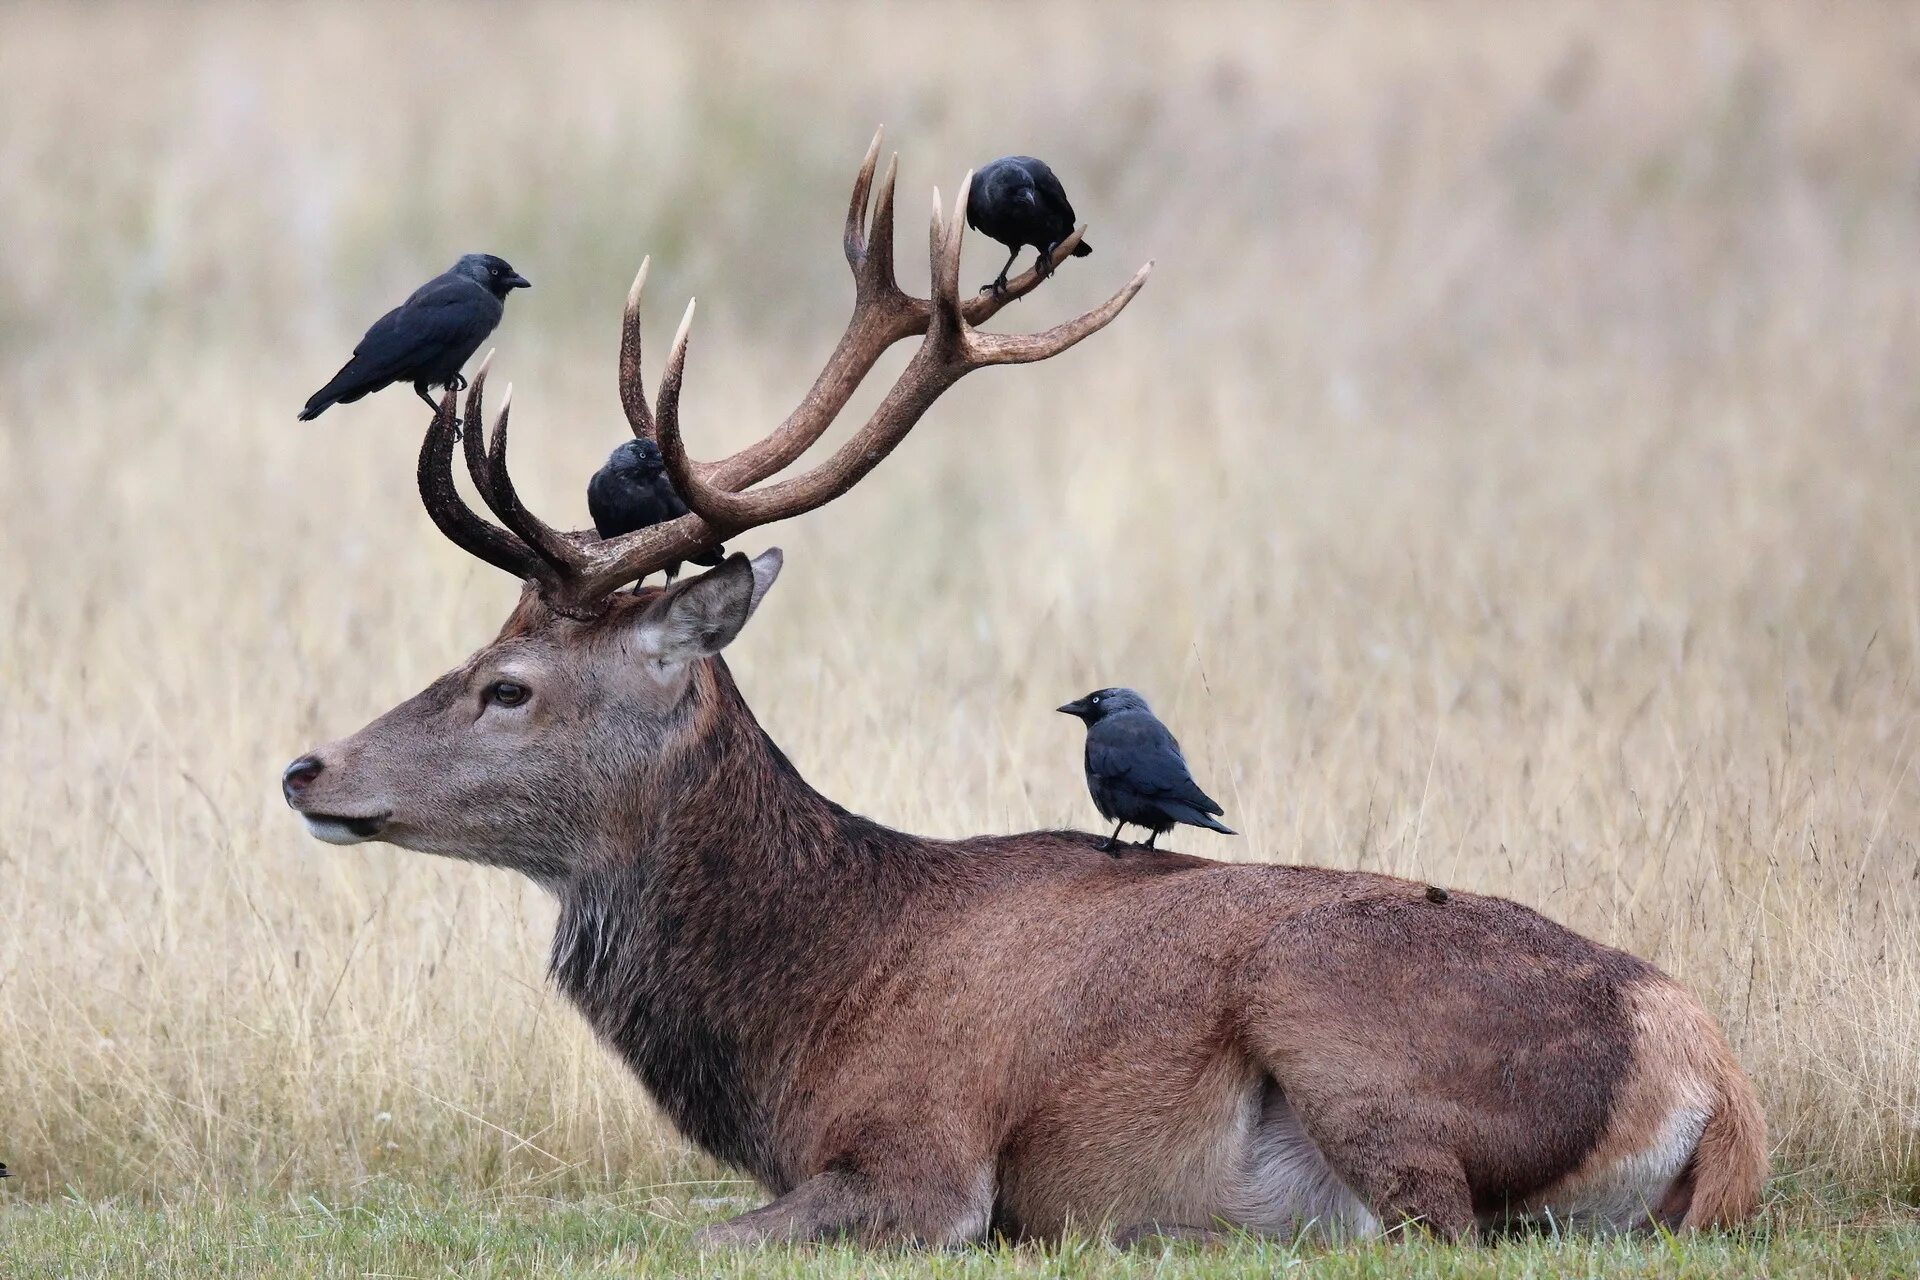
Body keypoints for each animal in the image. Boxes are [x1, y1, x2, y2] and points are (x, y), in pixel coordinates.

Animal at [278, 135, 1758, 1243]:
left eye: (509, 687)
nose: (306, 767)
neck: (804, 1015)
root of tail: (1709, 1068)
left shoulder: (926, 1154)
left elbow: (711, 1232)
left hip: (1345, 1022)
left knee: (1426, 1217)